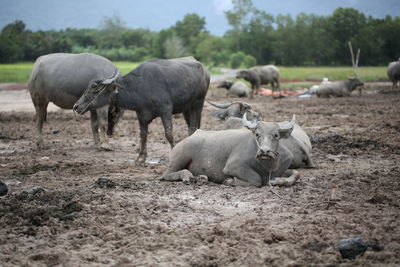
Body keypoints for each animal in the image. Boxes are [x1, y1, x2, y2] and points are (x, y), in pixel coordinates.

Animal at [73, 56, 209, 163]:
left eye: (94, 87)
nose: (76, 106)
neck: (139, 86)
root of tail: (204, 69)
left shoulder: (166, 110)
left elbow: (169, 134)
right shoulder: (142, 115)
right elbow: (143, 135)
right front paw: (140, 158)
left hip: (198, 104)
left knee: (193, 126)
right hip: (187, 108)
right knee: (192, 126)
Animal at [161, 115, 314, 188]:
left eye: (276, 135)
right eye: (257, 134)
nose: (264, 151)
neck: (268, 166)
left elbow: (296, 174)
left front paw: (278, 181)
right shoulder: (233, 166)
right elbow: (256, 179)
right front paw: (230, 181)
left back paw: (201, 178)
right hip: (180, 157)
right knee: (167, 175)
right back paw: (187, 176)